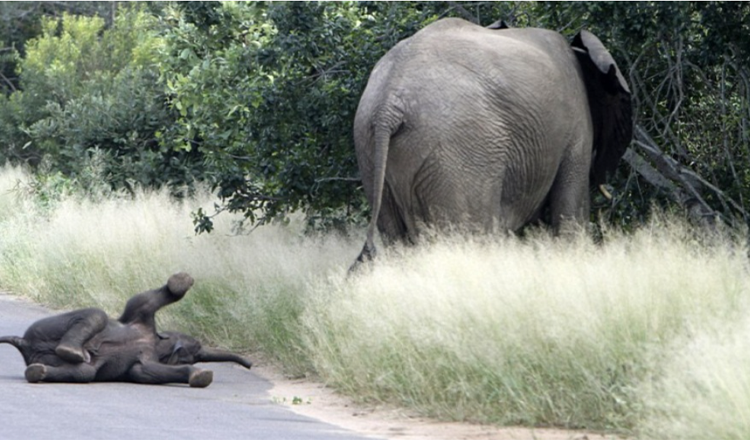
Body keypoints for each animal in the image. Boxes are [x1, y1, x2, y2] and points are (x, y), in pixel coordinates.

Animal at [0, 272, 253, 388]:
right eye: (198, 348)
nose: (250, 364)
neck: (155, 341)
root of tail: (24, 343)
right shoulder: (139, 314)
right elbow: (146, 300)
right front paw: (182, 281)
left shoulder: (144, 363)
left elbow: (148, 371)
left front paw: (202, 376)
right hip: (43, 327)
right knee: (97, 314)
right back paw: (72, 351)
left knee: (84, 372)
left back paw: (38, 371)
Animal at [350, 18, 632, 264]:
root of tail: (388, 104)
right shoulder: (577, 126)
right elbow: (571, 211)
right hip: (460, 153)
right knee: (472, 233)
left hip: (369, 149)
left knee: (395, 237)